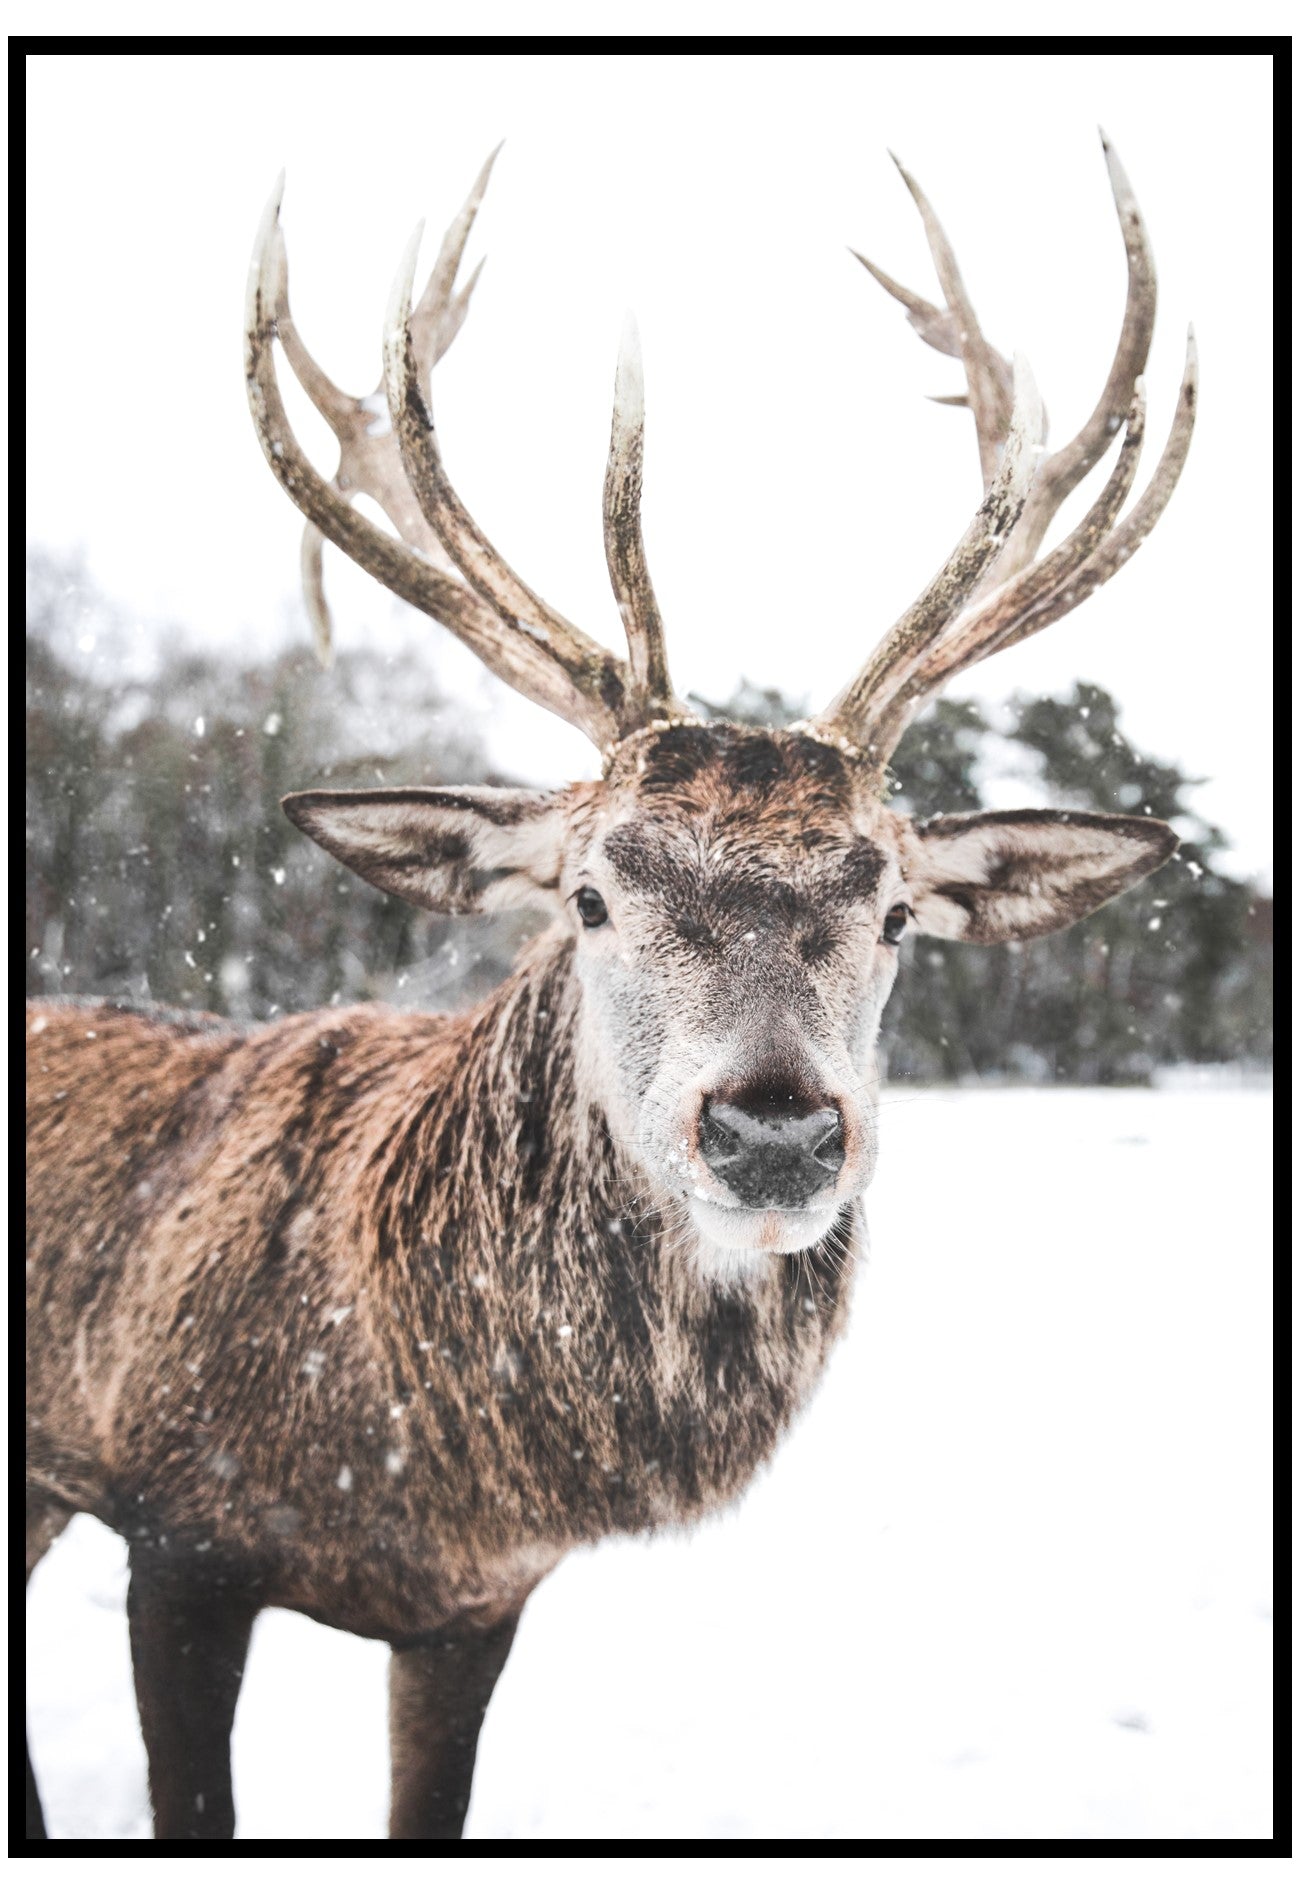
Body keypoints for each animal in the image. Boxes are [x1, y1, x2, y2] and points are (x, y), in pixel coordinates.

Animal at [22, 137, 1202, 1844]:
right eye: (588, 895)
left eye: (895, 912)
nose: (774, 1129)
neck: (416, 1463)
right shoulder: (171, 1531)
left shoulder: (476, 1608)